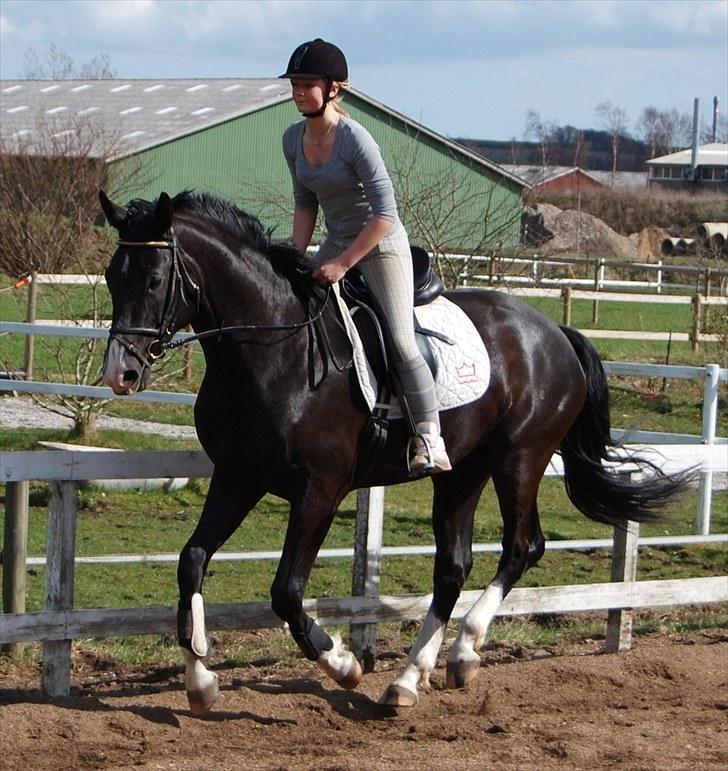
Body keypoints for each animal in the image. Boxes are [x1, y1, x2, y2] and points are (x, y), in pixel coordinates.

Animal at [99, 191, 692, 712]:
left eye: (154, 279)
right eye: (110, 276)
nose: (120, 373)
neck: (271, 347)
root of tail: (554, 331)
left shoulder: (320, 490)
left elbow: (286, 590)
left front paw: (342, 663)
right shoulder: (237, 477)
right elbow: (191, 562)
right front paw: (200, 681)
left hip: (520, 458)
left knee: (523, 547)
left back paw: (462, 652)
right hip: (462, 470)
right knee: (453, 567)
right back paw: (409, 678)